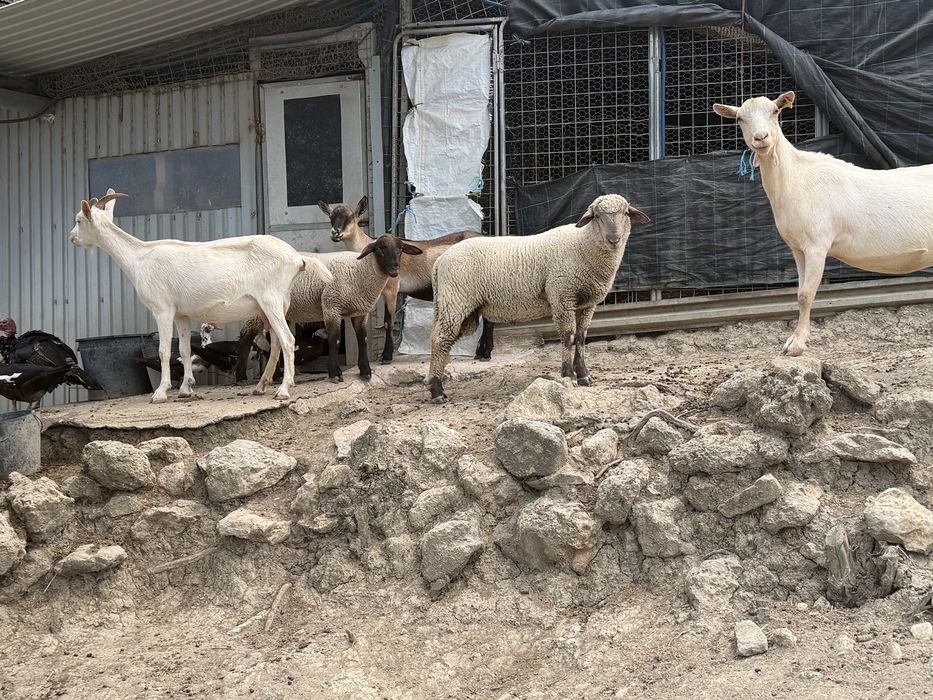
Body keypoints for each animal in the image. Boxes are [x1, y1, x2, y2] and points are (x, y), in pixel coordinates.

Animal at [69, 190, 334, 402]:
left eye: (79, 219)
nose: (71, 238)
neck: (140, 257)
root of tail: (297, 258)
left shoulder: (162, 308)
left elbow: (164, 350)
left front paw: (160, 393)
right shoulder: (181, 314)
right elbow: (184, 350)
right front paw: (186, 389)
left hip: (271, 299)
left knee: (288, 340)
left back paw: (283, 390)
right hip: (276, 304)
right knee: (277, 342)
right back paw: (261, 386)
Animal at [319, 197, 495, 363]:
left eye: (351, 217)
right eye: (331, 217)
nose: (335, 233)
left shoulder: (391, 288)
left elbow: (388, 322)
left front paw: (386, 356)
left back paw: (485, 354)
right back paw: (481, 352)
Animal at [714, 91, 933, 355]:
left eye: (775, 112)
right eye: (740, 119)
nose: (761, 137)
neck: (796, 178)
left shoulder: (817, 244)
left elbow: (807, 294)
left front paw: (795, 344)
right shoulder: (797, 248)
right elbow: (799, 293)